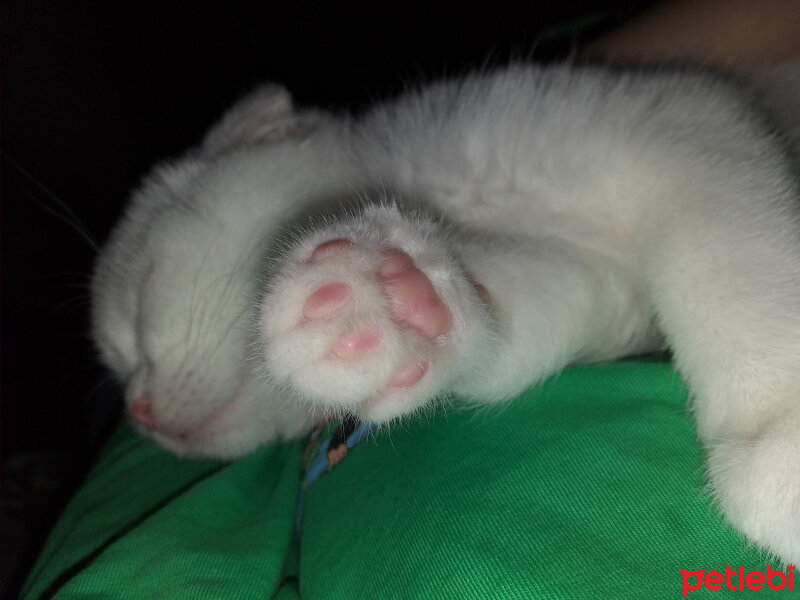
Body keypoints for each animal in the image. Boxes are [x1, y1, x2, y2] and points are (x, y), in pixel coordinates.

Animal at [89, 64, 800, 564]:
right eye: (121, 366)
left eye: (139, 298)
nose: (140, 412)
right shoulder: (598, 285)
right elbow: (517, 317)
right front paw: (395, 304)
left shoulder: (681, 120)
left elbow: (724, 250)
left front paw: (777, 426)